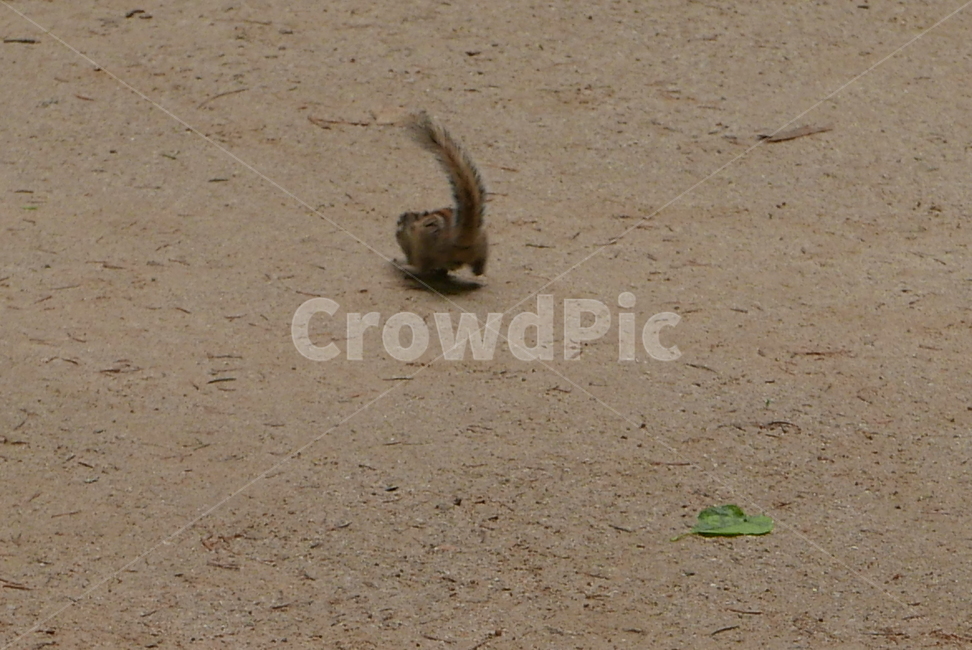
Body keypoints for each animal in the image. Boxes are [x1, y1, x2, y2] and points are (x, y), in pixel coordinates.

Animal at [395, 111, 488, 276]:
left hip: (424, 244)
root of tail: (458, 239)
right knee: (479, 268)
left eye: (401, 220)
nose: (396, 232)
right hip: (483, 239)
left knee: (422, 267)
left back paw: (407, 268)